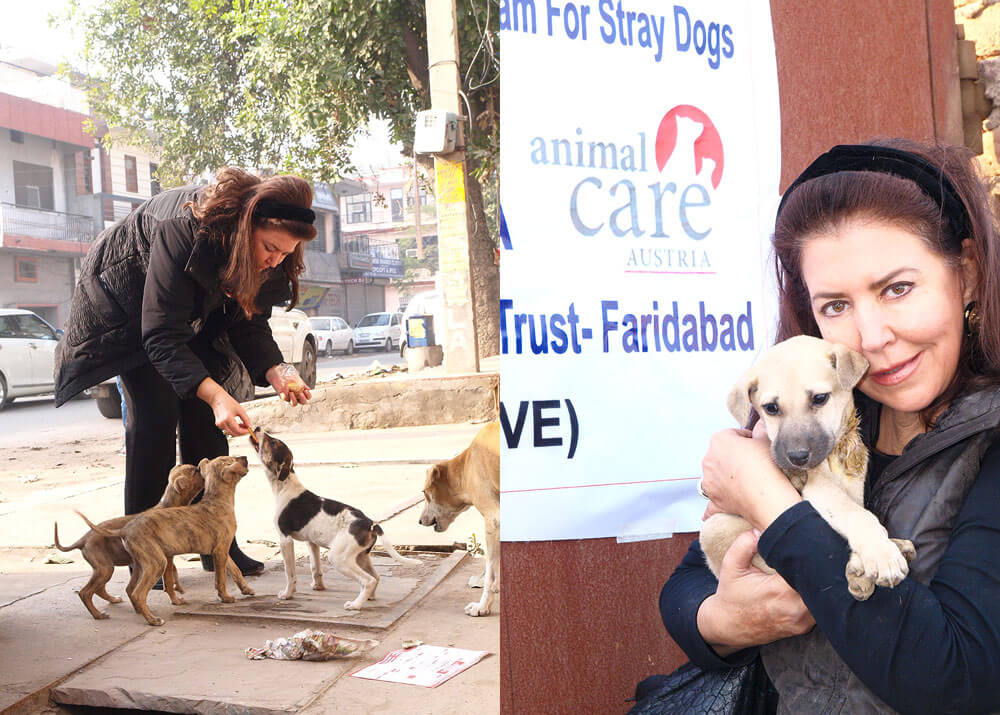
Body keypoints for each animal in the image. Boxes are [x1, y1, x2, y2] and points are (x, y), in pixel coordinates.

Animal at [55, 463, 204, 619]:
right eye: (195, 472)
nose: (201, 466)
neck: (170, 504)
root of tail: (83, 539)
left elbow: (174, 573)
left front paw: (179, 588)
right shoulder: (168, 558)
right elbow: (169, 579)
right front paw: (175, 599)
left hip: (105, 568)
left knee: (100, 589)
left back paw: (114, 600)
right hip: (105, 568)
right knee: (85, 592)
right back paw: (98, 614)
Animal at [77, 455, 255, 626]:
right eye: (232, 459)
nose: (246, 457)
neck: (216, 500)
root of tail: (125, 529)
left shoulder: (221, 551)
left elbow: (235, 570)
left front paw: (246, 589)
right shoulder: (219, 552)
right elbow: (221, 579)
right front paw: (225, 597)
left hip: (140, 563)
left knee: (128, 591)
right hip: (155, 562)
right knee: (136, 594)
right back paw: (153, 620)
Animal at [250, 427, 421, 611]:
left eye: (272, 442)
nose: (257, 428)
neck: (285, 485)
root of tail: (370, 523)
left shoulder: (285, 540)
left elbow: (289, 573)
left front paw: (288, 594)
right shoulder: (312, 542)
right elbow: (315, 568)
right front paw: (318, 587)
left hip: (338, 558)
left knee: (368, 580)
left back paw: (355, 605)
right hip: (360, 556)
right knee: (376, 577)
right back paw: (368, 598)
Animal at [419, 421, 500, 617]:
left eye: (424, 493)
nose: (419, 521)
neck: (466, 465)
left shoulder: (493, 519)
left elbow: (490, 570)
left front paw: (482, 606)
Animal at [700, 336, 915, 601]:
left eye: (820, 398)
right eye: (771, 408)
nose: (797, 458)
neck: (835, 455)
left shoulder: (853, 486)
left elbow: (859, 511)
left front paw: (869, 555)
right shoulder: (819, 487)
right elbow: (856, 514)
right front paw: (882, 554)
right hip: (715, 526)